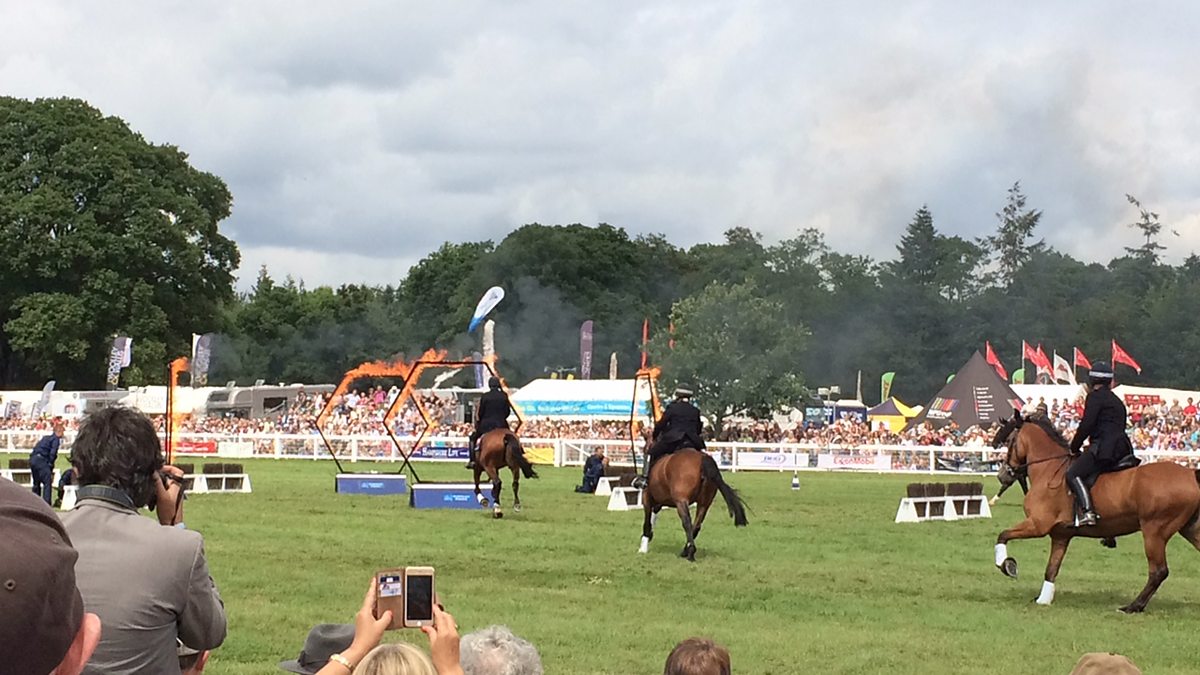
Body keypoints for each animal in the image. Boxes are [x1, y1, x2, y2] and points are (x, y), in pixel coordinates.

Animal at [637, 430, 748, 562]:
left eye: (645, 448)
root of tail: (703, 459)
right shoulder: (659, 502)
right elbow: (654, 515)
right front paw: (650, 537)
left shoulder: (647, 497)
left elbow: (647, 520)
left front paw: (643, 546)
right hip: (704, 504)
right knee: (697, 525)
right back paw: (686, 551)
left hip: (681, 501)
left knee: (687, 522)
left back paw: (690, 552)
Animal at [991, 414, 1200, 612]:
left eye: (1009, 440)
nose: (1002, 475)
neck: (1049, 470)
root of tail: (1191, 473)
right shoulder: (1060, 535)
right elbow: (1051, 569)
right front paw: (1043, 599)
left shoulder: (1037, 525)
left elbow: (1003, 535)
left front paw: (1007, 565)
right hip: (1190, 530)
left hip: (1154, 532)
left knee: (1158, 571)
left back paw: (1133, 607)